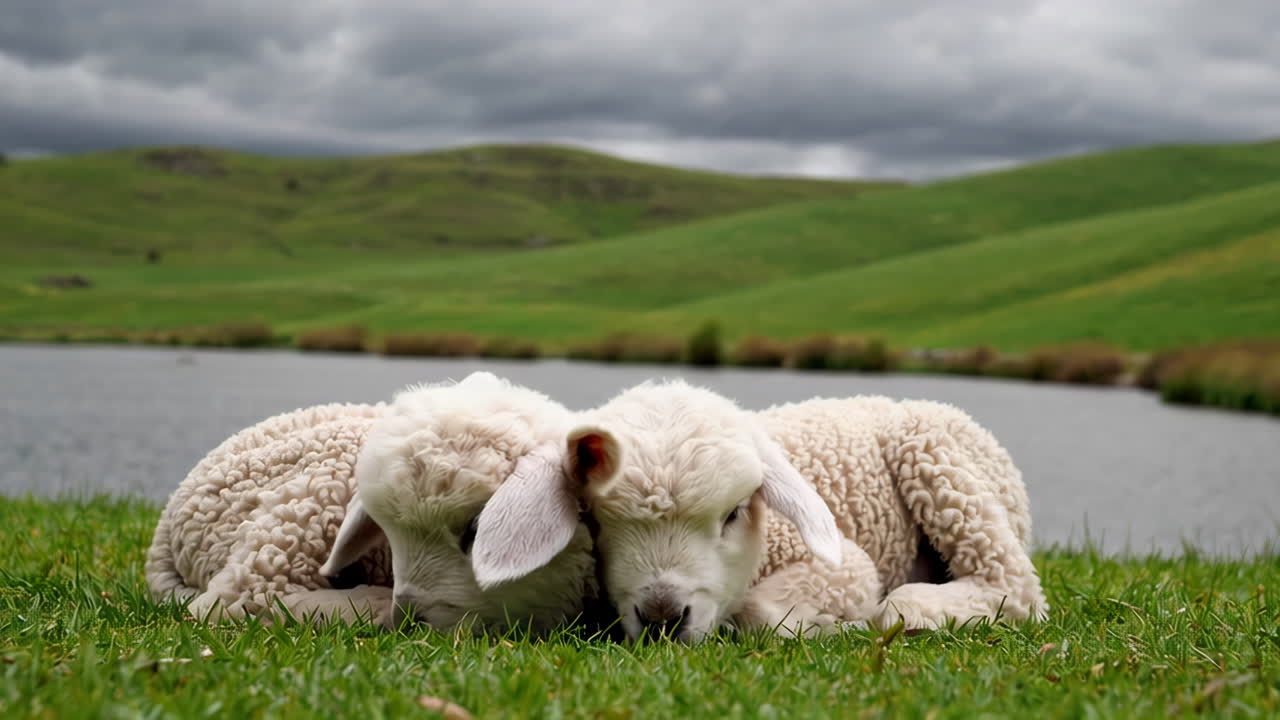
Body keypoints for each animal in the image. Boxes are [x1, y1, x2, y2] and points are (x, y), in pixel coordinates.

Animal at [146, 371, 600, 633]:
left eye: (475, 531)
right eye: (389, 533)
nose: (410, 621)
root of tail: (165, 527)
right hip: (307, 505)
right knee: (237, 599)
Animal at [477, 379, 1046, 641]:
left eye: (732, 514)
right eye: (594, 521)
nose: (663, 618)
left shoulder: (847, 568)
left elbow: (760, 613)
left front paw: (830, 624)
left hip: (936, 458)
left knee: (1014, 588)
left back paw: (912, 607)